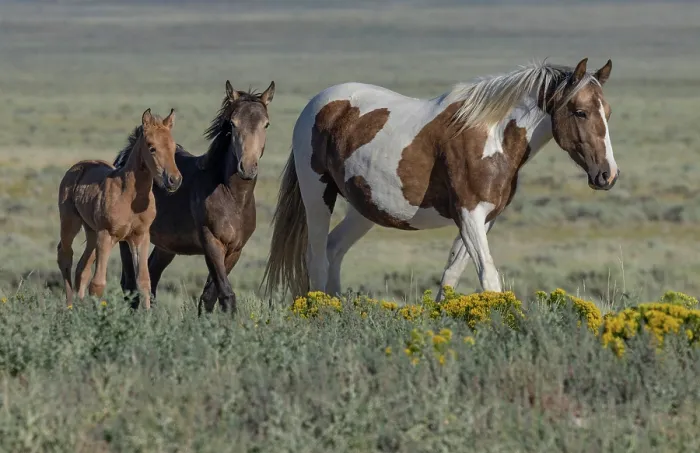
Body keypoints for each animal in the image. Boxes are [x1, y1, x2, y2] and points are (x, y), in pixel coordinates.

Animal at [57, 108, 181, 309]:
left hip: (91, 231)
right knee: (65, 255)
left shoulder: (140, 237)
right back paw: (69, 307)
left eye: (173, 146)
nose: (174, 180)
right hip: (71, 223)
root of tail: (77, 166)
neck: (131, 198)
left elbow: (144, 282)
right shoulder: (106, 235)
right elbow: (98, 284)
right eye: (151, 147)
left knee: (82, 267)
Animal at [117, 80, 275, 315]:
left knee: (151, 277)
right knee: (130, 285)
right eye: (233, 124)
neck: (233, 198)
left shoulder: (235, 250)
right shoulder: (211, 243)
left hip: (166, 245)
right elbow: (226, 294)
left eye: (266, 124)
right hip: (128, 238)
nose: (247, 168)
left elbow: (209, 296)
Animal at [261, 58, 619, 301]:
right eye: (580, 112)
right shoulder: (469, 215)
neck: (491, 137)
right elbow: (489, 278)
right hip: (317, 195)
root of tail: (319, 103)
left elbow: (451, 276)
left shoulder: (484, 220)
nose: (607, 175)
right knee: (317, 257)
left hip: (364, 209)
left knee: (334, 250)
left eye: (608, 112)